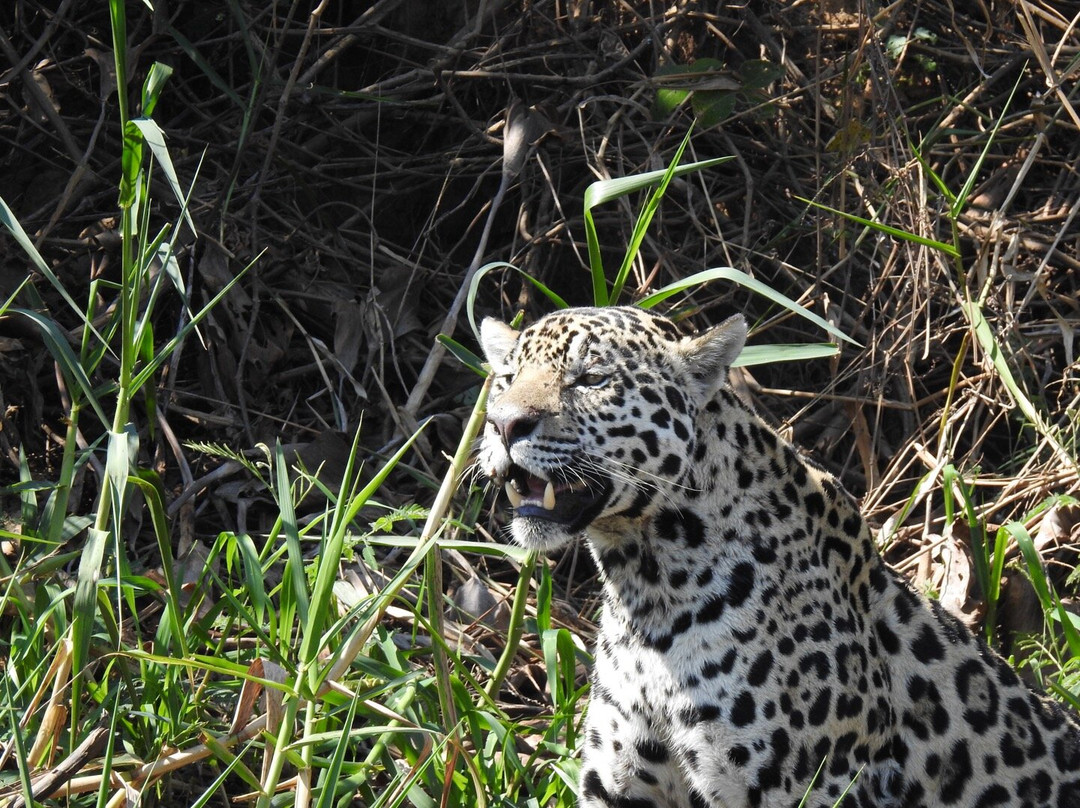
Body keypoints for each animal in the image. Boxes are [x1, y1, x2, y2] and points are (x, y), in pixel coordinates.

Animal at [477, 305, 1080, 808]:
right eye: (505, 380)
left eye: (592, 379)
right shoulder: (621, 783)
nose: (504, 423)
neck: (646, 584)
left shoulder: (810, 786)